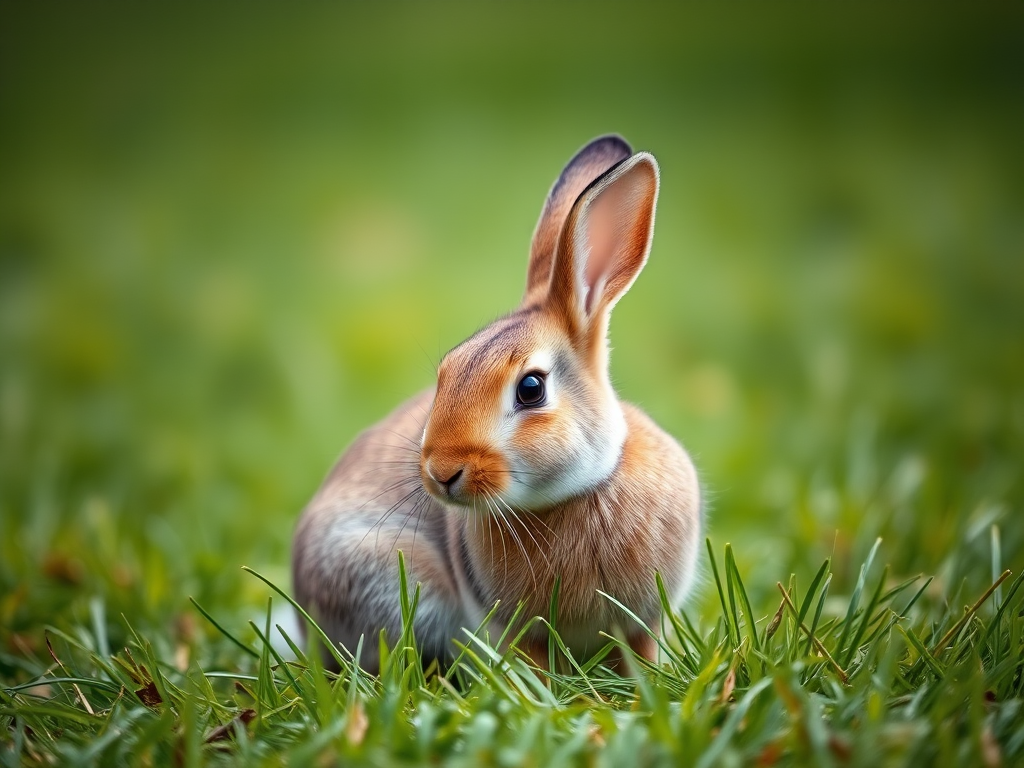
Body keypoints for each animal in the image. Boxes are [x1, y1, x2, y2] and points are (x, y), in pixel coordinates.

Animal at [292, 135, 702, 674]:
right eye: (447, 371)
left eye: (531, 388)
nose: (441, 473)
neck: (580, 491)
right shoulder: (516, 628)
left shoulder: (643, 621)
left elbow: (641, 652)